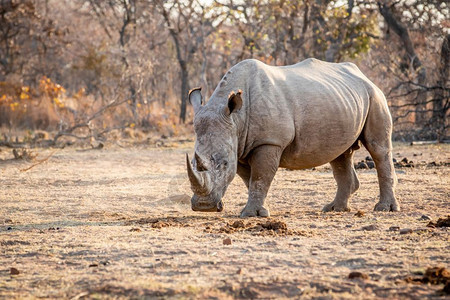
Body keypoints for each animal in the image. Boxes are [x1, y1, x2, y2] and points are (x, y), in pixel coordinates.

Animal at [187, 58, 400, 217]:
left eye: (223, 164)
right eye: (193, 162)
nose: (203, 206)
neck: (235, 119)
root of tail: (364, 76)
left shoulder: (269, 142)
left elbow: (260, 177)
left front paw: (251, 214)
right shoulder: (238, 145)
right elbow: (250, 180)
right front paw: (260, 210)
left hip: (375, 96)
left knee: (378, 149)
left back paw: (384, 209)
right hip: (342, 100)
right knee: (340, 155)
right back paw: (334, 209)